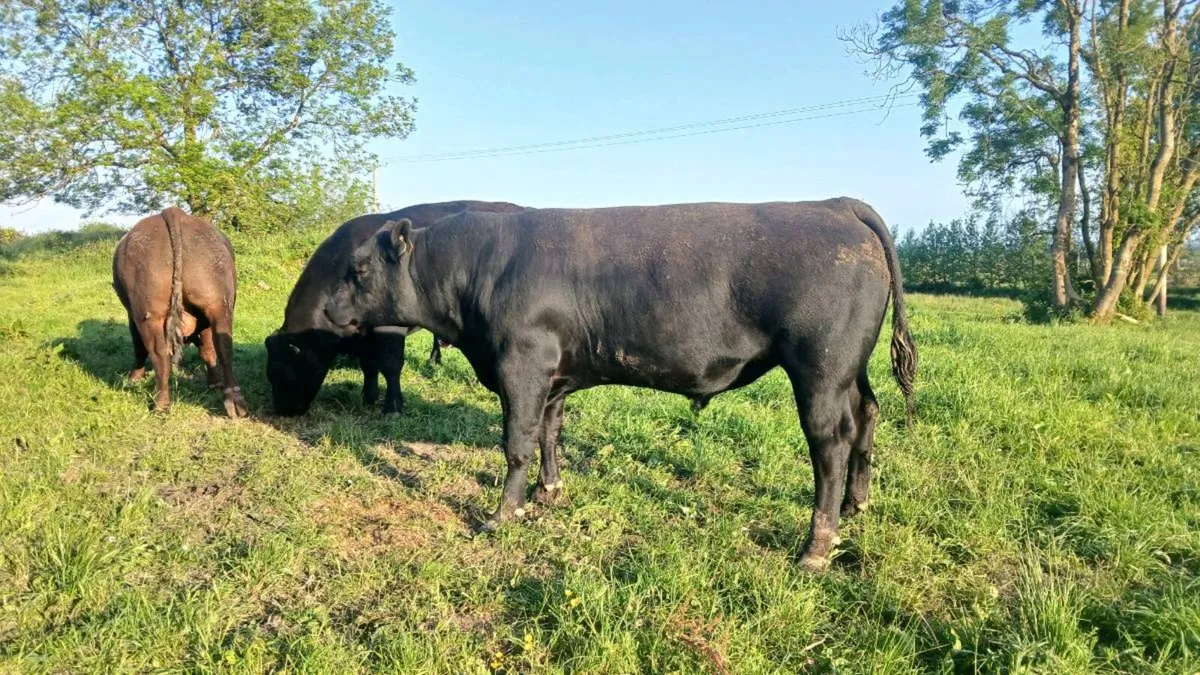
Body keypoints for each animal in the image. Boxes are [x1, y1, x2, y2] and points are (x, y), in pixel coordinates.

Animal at [112, 207, 249, 418]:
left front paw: (134, 378)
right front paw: (214, 382)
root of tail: (172, 211)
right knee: (224, 348)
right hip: (219, 307)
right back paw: (235, 401)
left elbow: (139, 348)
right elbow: (208, 349)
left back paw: (160, 404)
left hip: (148, 315)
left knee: (158, 354)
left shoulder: (132, 317)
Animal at [265, 200, 530, 416]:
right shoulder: (364, 333)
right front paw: (368, 397)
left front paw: (392, 406)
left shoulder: (388, 326)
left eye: (284, 373)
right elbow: (369, 364)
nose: (284, 411)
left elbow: (390, 365)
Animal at [323, 198, 917, 572]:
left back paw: (817, 545)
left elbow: (516, 442)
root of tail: (833, 204)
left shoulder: (523, 364)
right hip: (849, 370)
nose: (328, 310)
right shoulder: (555, 376)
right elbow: (549, 432)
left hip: (820, 369)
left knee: (830, 443)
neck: (479, 270)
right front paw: (549, 493)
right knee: (867, 413)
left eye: (359, 270)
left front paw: (502, 514)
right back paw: (856, 506)